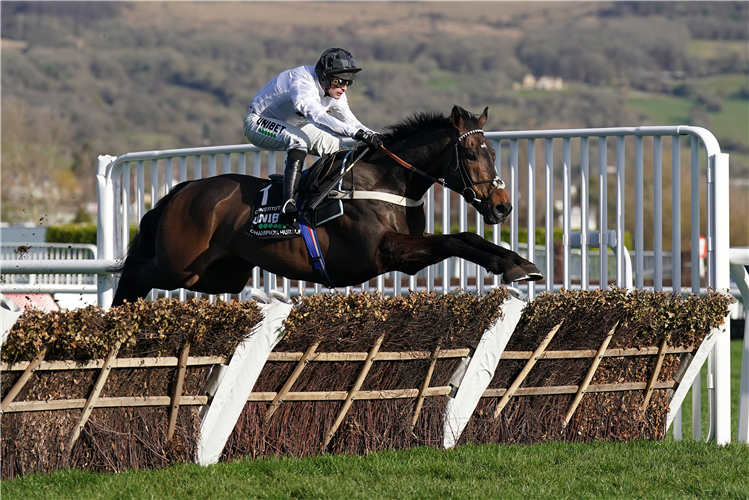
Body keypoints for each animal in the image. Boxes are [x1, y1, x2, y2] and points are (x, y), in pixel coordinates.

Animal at [111, 105, 540, 304]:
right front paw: (511, 265)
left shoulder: (407, 253)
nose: (502, 207)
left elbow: (466, 238)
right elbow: (456, 239)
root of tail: (180, 191)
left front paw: (521, 264)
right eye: (470, 154)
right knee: (135, 273)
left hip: (220, 275)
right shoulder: (386, 252)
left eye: (493, 154)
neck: (389, 182)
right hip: (178, 266)